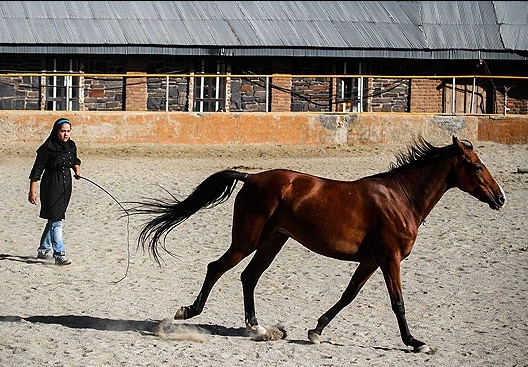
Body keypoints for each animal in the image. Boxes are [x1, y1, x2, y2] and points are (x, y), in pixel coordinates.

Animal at [131, 137, 504, 356]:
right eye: (475, 167)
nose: (500, 199)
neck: (401, 198)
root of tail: (251, 177)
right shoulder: (390, 258)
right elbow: (397, 303)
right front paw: (416, 343)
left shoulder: (371, 261)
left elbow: (348, 296)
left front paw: (316, 330)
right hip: (249, 239)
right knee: (218, 268)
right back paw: (188, 313)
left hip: (273, 240)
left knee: (249, 277)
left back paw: (260, 328)